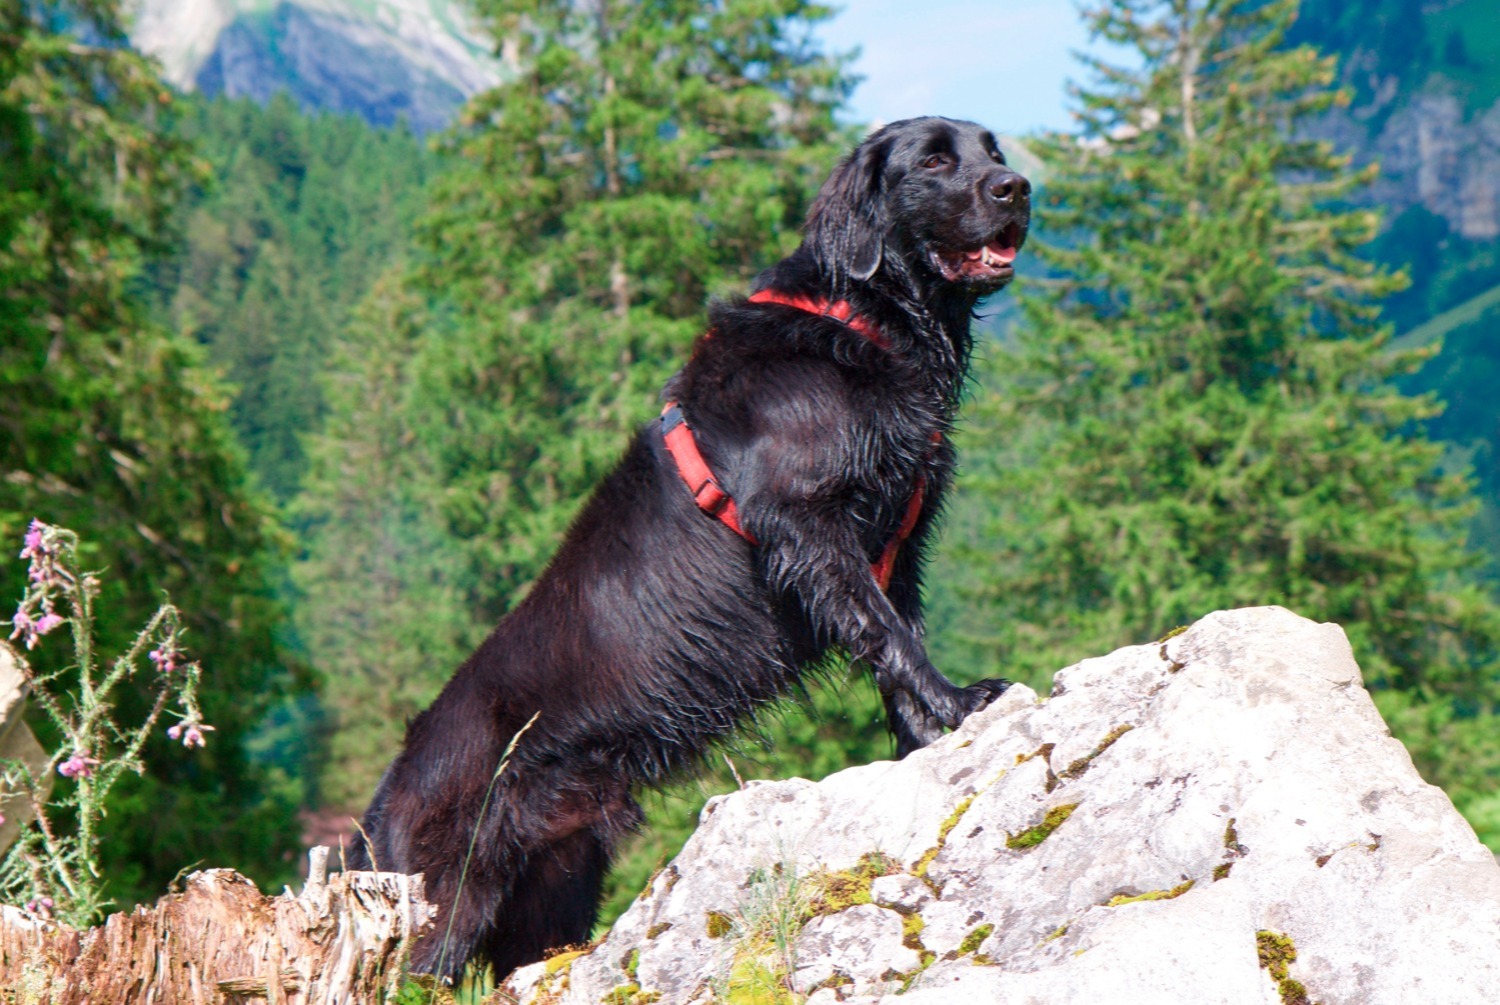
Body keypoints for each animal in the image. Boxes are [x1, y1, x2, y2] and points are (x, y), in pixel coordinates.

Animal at [351, 114, 1032, 978]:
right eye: (936, 161)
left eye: (994, 152)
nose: (1018, 189)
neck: (858, 321)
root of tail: (380, 804)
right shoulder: (808, 523)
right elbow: (885, 632)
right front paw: (961, 701)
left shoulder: (897, 546)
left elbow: (895, 641)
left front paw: (920, 741)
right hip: (445, 910)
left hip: (555, 884)